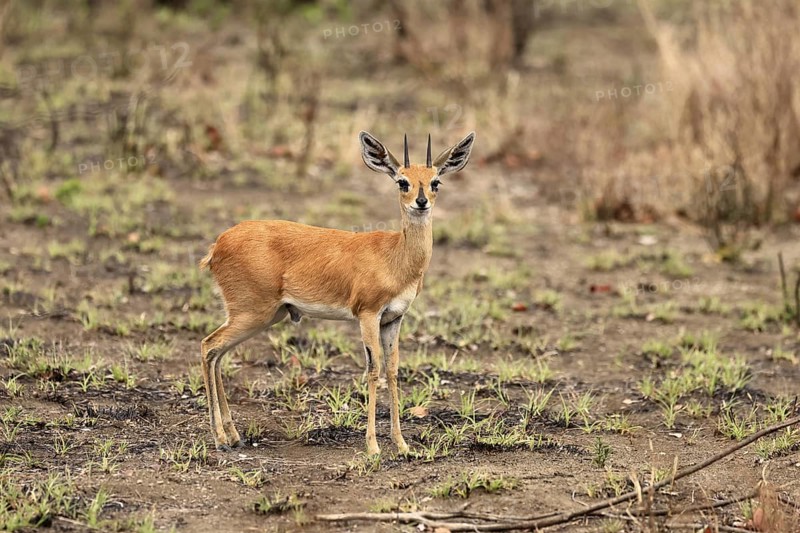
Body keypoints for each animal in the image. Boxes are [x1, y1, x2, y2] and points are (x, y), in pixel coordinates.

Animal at [199, 131, 475, 455]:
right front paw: (373, 447)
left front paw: (402, 445)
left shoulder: (393, 319)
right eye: (402, 181)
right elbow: (373, 370)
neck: (395, 256)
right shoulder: (367, 314)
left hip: (262, 316)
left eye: (435, 182)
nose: (421, 203)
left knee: (217, 354)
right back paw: (219, 438)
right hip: (252, 313)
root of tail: (217, 245)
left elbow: (393, 370)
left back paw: (233, 436)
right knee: (208, 346)